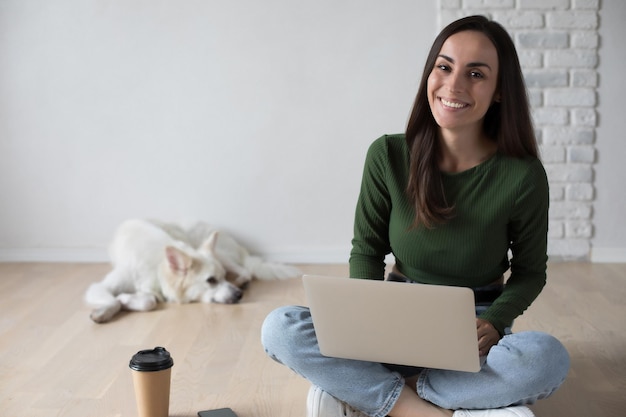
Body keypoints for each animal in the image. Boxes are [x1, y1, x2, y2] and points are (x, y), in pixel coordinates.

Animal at [85, 219, 300, 324]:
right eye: (211, 280)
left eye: (220, 277)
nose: (239, 295)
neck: (158, 267)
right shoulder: (99, 287)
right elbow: (145, 300)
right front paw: (108, 309)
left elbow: (147, 300)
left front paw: (123, 300)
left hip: (219, 254)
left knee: (246, 270)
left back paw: (241, 280)